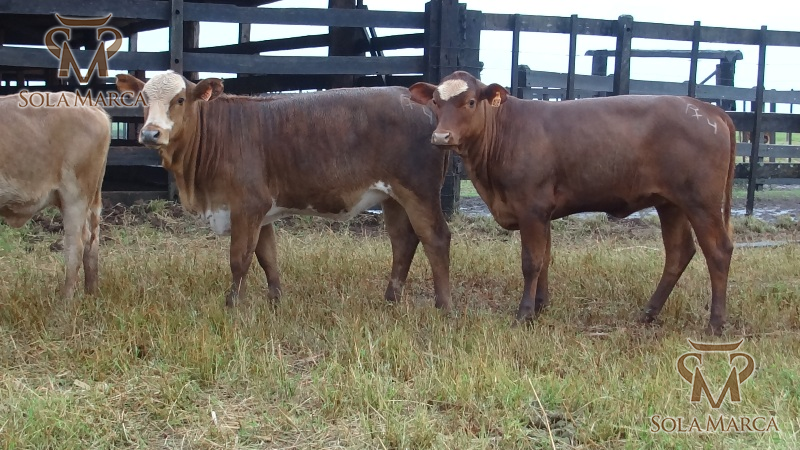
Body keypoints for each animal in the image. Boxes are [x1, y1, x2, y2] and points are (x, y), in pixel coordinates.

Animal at [0, 91, 110, 299]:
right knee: (92, 241)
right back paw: (91, 294)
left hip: (75, 195)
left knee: (76, 245)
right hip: (90, 197)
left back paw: (65, 301)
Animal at [115, 72, 452, 310]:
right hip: (392, 197)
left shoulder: (247, 205)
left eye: (180, 99)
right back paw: (391, 298)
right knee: (403, 241)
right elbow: (267, 256)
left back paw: (443, 306)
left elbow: (239, 258)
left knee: (435, 238)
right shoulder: (261, 212)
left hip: (419, 191)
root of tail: (416, 99)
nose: (150, 133)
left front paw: (232, 305)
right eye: (143, 98)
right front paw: (275, 301)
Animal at [408, 71, 735, 335]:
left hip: (701, 203)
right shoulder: (543, 213)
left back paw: (715, 324)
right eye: (436, 101)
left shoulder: (532, 208)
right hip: (671, 203)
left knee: (718, 251)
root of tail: (707, 108)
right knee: (679, 252)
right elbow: (545, 259)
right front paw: (540, 306)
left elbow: (531, 262)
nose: (441, 136)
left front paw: (524, 314)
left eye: (471, 102)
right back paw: (649, 313)